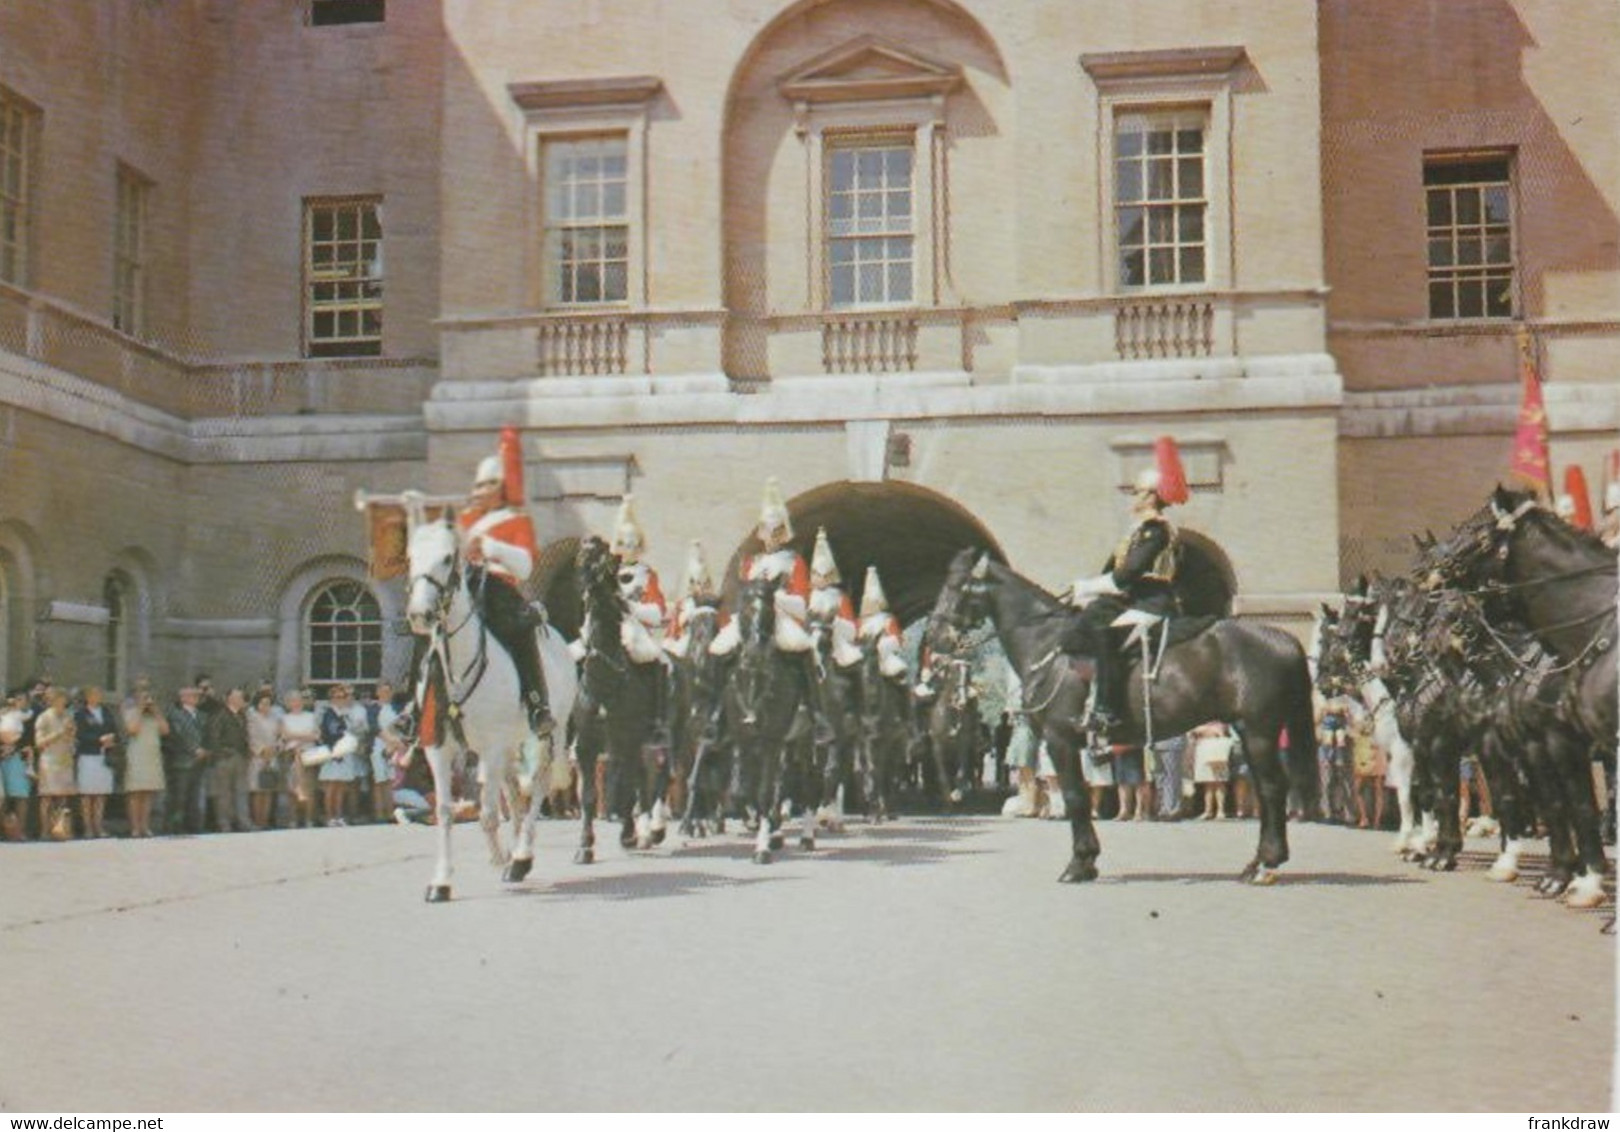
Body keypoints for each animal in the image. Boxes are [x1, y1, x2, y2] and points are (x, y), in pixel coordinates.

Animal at [405, 511, 583, 900]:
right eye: (411, 558)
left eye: (447, 558)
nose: (421, 614)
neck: (458, 667)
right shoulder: (439, 747)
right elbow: (445, 811)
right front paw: (441, 881)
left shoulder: (491, 746)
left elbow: (487, 812)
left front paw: (502, 859)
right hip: (511, 744)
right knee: (515, 791)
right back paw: (516, 854)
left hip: (551, 733)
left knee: (539, 785)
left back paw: (521, 856)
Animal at [573, 534, 667, 861]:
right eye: (585, 557)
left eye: (601, 554)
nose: (590, 575)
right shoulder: (587, 745)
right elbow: (589, 795)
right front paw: (584, 845)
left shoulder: (621, 741)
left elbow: (624, 786)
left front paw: (628, 834)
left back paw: (649, 829)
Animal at [926, 550, 1315, 887]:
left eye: (956, 585)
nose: (934, 637)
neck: (1047, 643)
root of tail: (1282, 638)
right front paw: (1086, 860)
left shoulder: (1059, 739)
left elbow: (1075, 796)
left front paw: (1079, 863)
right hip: (1250, 731)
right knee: (1268, 790)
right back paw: (1256, 863)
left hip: (1259, 731)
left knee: (1272, 788)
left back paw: (1266, 863)